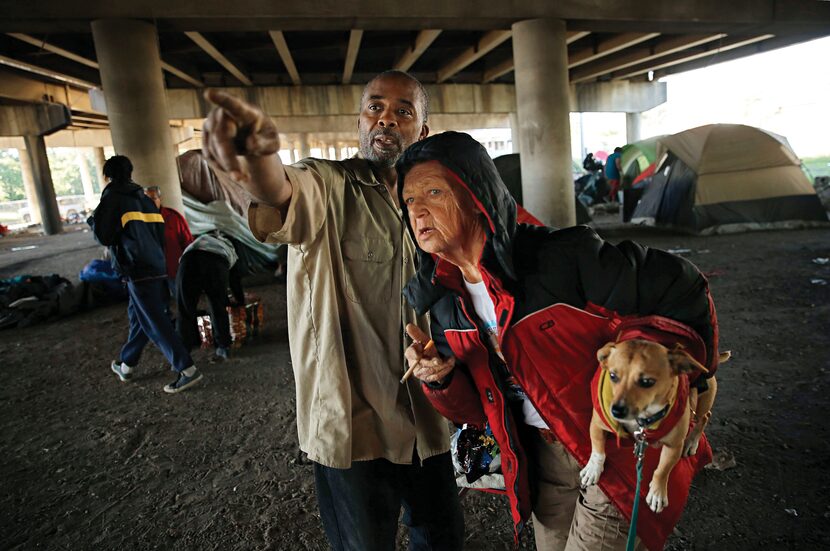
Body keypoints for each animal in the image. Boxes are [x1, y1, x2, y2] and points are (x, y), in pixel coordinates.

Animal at [580, 338, 732, 516]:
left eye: (647, 382)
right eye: (612, 376)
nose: (616, 410)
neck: (642, 420)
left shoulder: (674, 446)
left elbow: (662, 470)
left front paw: (657, 494)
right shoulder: (596, 425)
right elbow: (598, 450)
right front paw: (592, 470)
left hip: (702, 404)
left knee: (705, 417)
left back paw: (691, 442)